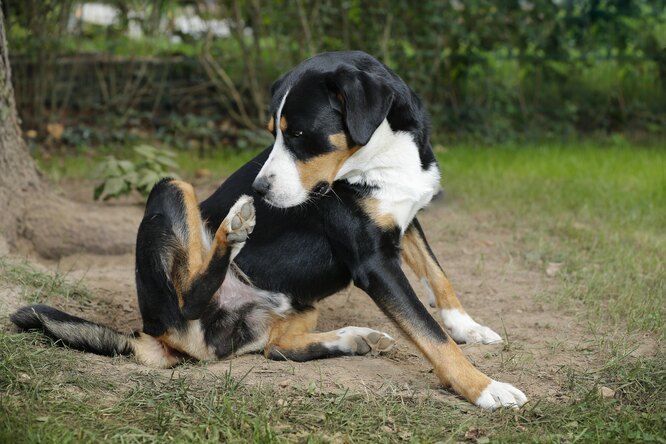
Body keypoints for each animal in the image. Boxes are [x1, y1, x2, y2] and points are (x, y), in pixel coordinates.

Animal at [11, 51, 524, 410]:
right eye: (275, 133)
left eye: (297, 134)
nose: (258, 190)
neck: (383, 158)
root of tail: (158, 336)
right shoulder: (374, 261)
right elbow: (429, 334)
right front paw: (484, 388)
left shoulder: (405, 220)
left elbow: (439, 278)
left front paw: (468, 327)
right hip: (172, 189)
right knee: (190, 297)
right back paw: (234, 231)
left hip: (299, 302)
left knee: (276, 348)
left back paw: (354, 337)